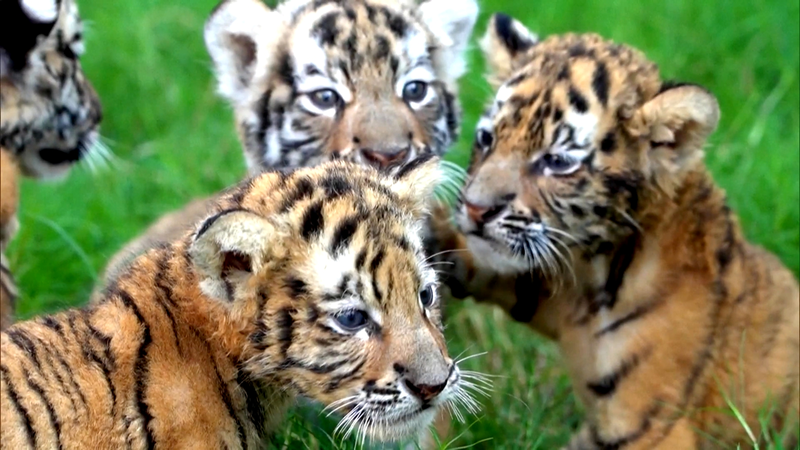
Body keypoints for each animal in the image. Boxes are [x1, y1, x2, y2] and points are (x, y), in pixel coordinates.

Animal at [428, 14, 800, 449]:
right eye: (487, 139)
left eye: (557, 162)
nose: (475, 208)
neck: (596, 272)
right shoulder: (550, 289)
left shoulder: (653, 425)